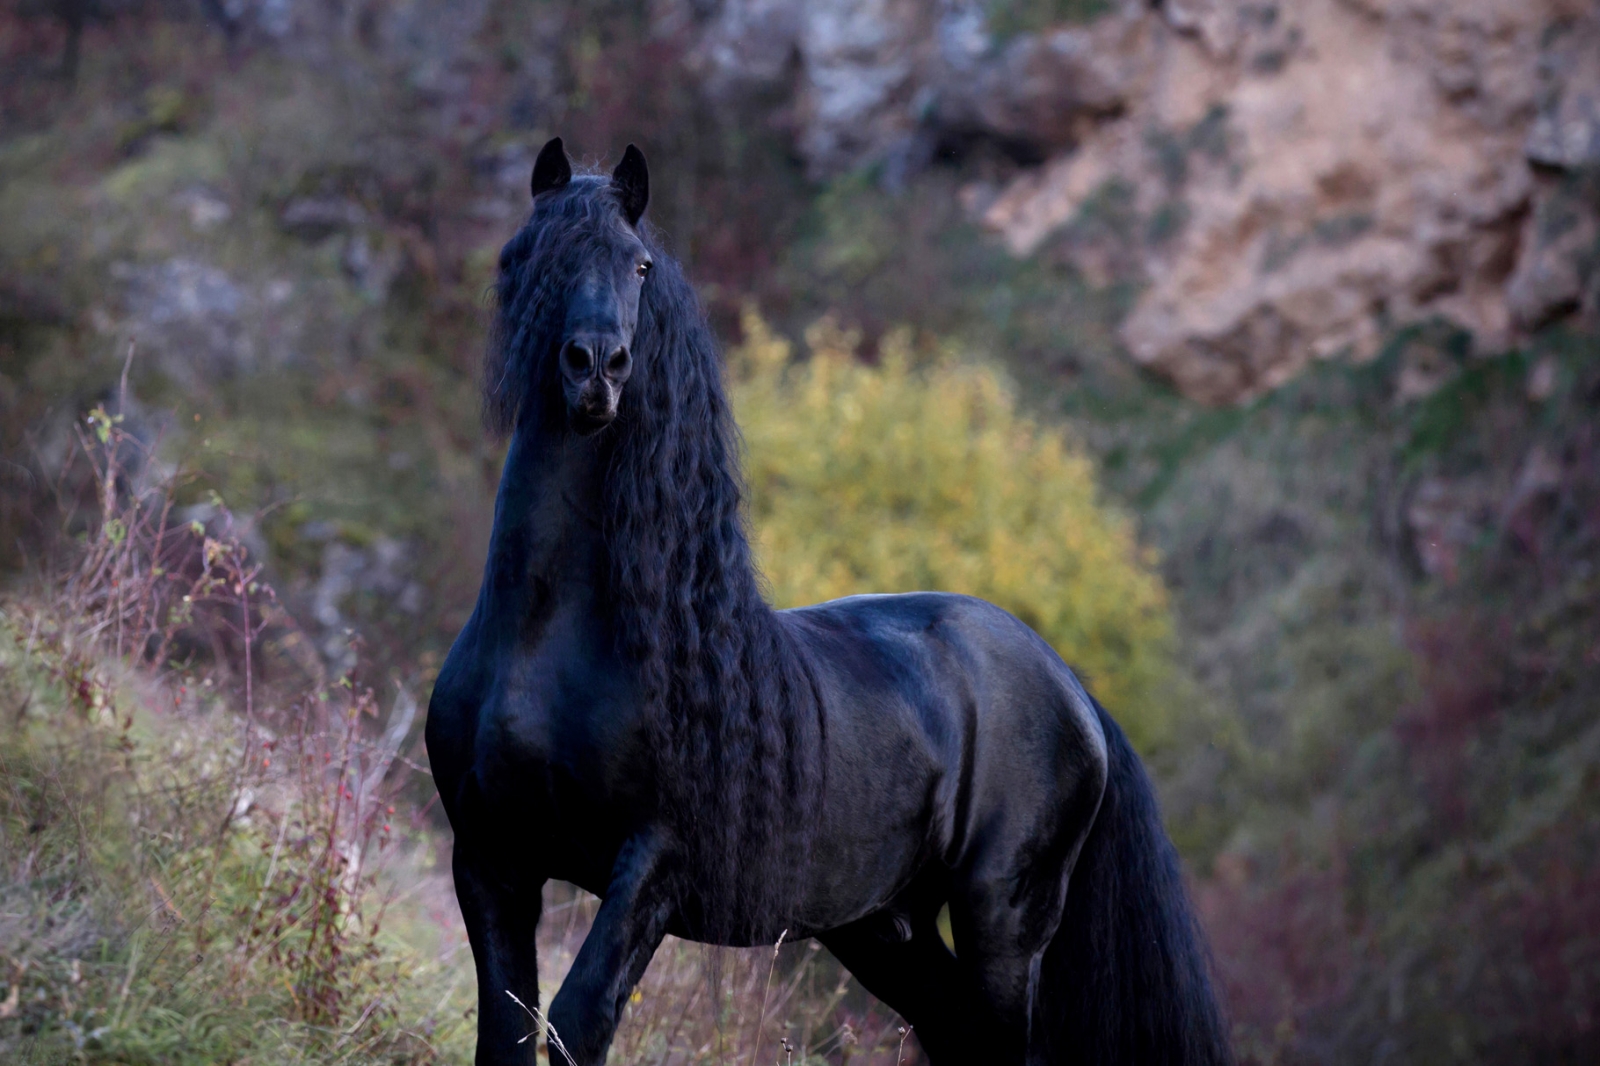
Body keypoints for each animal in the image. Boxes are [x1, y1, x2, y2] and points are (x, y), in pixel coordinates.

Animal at [422, 139, 1222, 1062]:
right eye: (531, 253)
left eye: (640, 264)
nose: (597, 369)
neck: (551, 641)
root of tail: (1076, 693)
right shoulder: (491, 861)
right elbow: (505, 1034)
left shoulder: (651, 869)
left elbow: (576, 1023)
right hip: (883, 928)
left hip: (1004, 921)